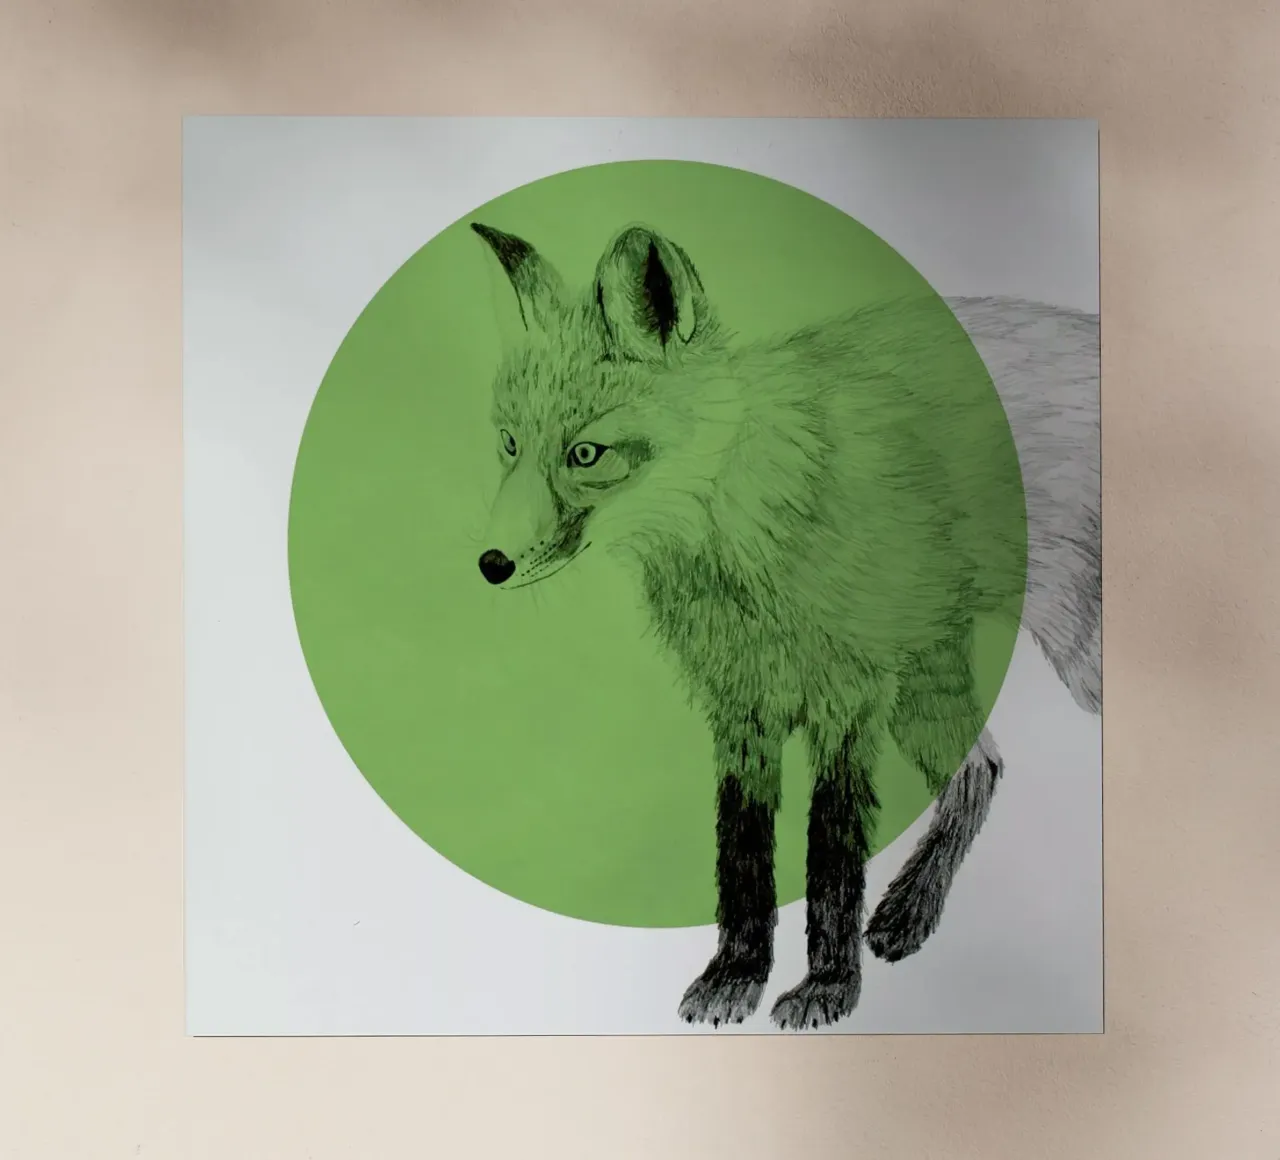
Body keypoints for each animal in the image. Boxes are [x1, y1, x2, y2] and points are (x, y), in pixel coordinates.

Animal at [468, 218, 1101, 1030]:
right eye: (510, 443)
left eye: (586, 454)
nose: (491, 564)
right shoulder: (741, 706)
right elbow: (741, 856)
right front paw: (736, 976)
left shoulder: (847, 701)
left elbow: (829, 861)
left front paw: (828, 987)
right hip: (925, 675)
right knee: (979, 769)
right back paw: (909, 914)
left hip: (1069, 664)